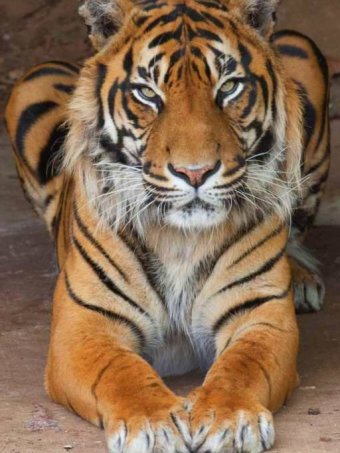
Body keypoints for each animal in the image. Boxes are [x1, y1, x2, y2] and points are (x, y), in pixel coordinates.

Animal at [4, 0, 330, 452]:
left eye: (229, 87)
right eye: (147, 93)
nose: (195, 173)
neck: (179, 238)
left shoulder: (260, 314)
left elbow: (243, 366)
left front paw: (230, 419)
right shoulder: (84, 324)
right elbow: (119, 371)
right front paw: (154, 423)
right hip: (31, 83)